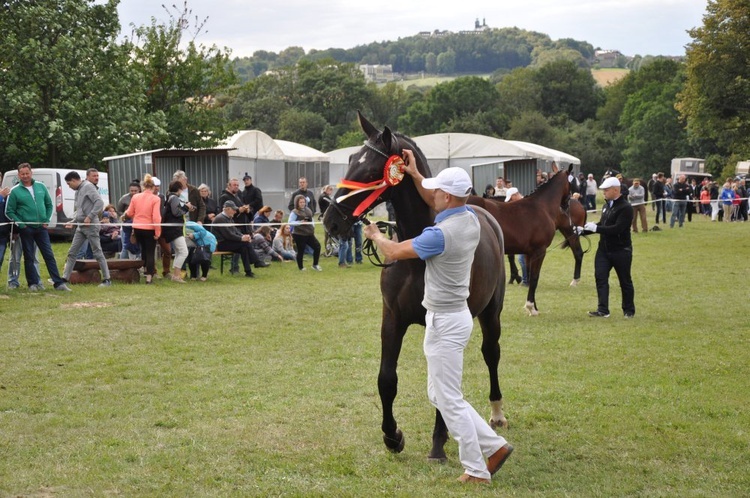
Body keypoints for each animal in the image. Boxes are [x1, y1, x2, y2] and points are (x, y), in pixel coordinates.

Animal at [324, 112, 512, 460]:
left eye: (370, 170)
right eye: (352, 159)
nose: (331, 220)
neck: (415, 257)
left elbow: (443, 383)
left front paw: (437, 443)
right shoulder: (392, 318)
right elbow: (386, 378)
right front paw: (392, 436)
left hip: (491, 313)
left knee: (491, 353)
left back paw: (496, 413)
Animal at [470, 163, 576, 316]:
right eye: (572, 183)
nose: (567, 205)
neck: (541, 207)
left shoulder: (529, 252)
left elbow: (530, 276)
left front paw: (533, 307)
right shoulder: (539, 251)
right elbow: (535, 278)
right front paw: (531, 307)